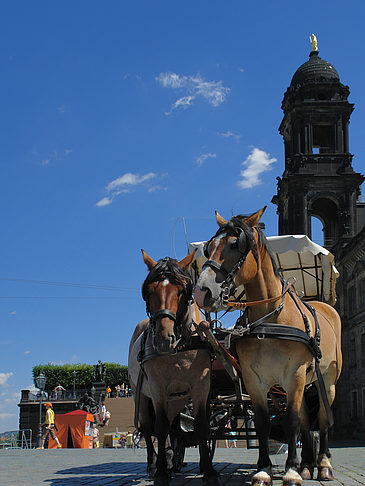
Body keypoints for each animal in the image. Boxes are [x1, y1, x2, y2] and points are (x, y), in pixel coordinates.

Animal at [128, 251, 219, 486]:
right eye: (149, 291)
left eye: (181, 291)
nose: (163, 339)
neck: (180, 346)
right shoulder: (157, 388)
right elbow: (159, 427)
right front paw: (160, 472)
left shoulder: (201, 385)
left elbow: (201, 426)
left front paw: (208, 470)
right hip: (141, 394)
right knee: (148, 426)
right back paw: (154, 465)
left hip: (176, 398)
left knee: (170, 423)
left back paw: (169, 460)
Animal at [195, 209, 340, 486]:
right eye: (208, 248)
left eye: (235, 245)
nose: (201, 293)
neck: (271, 319)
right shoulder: (254, 380)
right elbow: (263, 423)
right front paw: (264, 470)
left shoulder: (294, 375)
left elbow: (291, 421)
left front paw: (291, 472)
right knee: (306, 421)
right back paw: (307, 464)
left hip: (326, 381)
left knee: (324, 420)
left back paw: (324, 465)